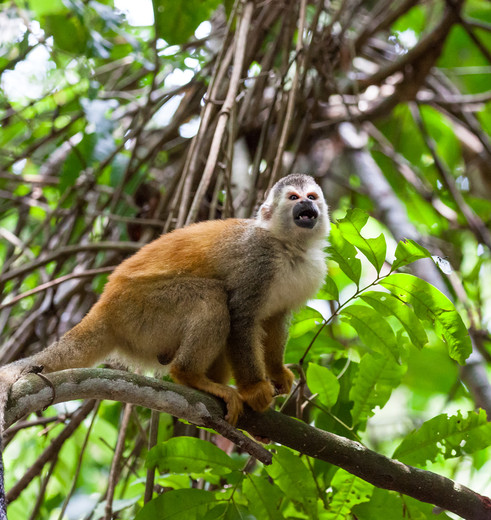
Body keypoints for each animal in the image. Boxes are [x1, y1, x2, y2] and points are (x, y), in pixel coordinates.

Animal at [1, 173, 330, 424]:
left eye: (312, 196)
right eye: (293, 198)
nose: (306, 204)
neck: (288, 247)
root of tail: (105, 305)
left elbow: (276, 319)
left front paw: (277, 373)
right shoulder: (258, 260)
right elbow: (241, 318)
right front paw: (255, 389)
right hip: (141, 309)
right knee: (213, 297)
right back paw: (190, 376)